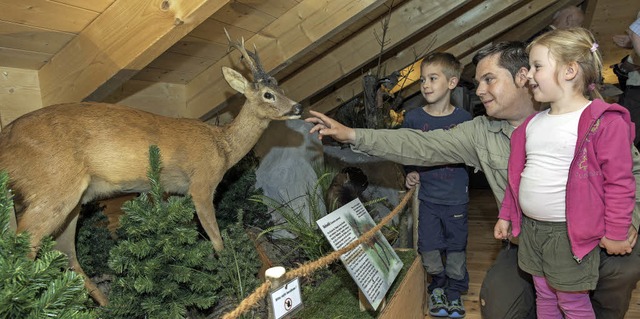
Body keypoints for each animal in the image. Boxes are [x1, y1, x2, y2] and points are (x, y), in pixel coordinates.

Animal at [0, 33, 302, 308]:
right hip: (52, 187)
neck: (223, 147)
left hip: (72, 203)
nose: (298, 106)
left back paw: (108, 306)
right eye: (268, 94)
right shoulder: (201, 183)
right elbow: (216, 239)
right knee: (23, 246)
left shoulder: (174, 191)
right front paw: (237, 285)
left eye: (282, 87)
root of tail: (5, 141)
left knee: (65, 254)